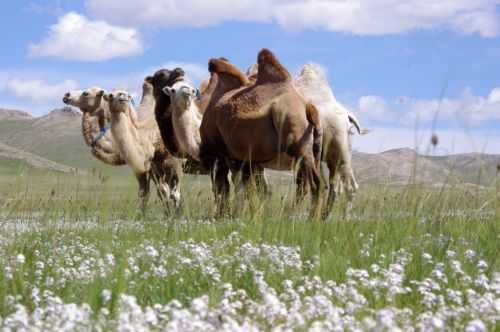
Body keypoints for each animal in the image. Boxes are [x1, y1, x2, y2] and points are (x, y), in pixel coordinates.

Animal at [199, 49, 324, 215]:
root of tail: (308, 107)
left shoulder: (221, 153)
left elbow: (228, 187)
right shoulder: (246, 158)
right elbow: (252, 189)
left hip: (298, 143)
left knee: (314, 184)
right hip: (313, 149)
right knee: (305, 184)